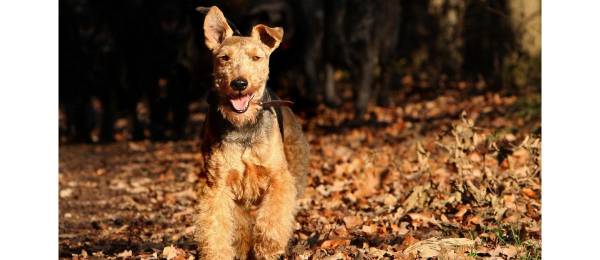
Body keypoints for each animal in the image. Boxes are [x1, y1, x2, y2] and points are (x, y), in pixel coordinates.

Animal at [196, 6, 310, 260]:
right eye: (224, 58)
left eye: (256, 57)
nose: (239, 83)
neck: (244, 126)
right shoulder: (218, 185)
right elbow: (216, 227)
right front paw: (219, 253)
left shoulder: (278, 177)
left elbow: (273, 217)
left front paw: (268, 246)